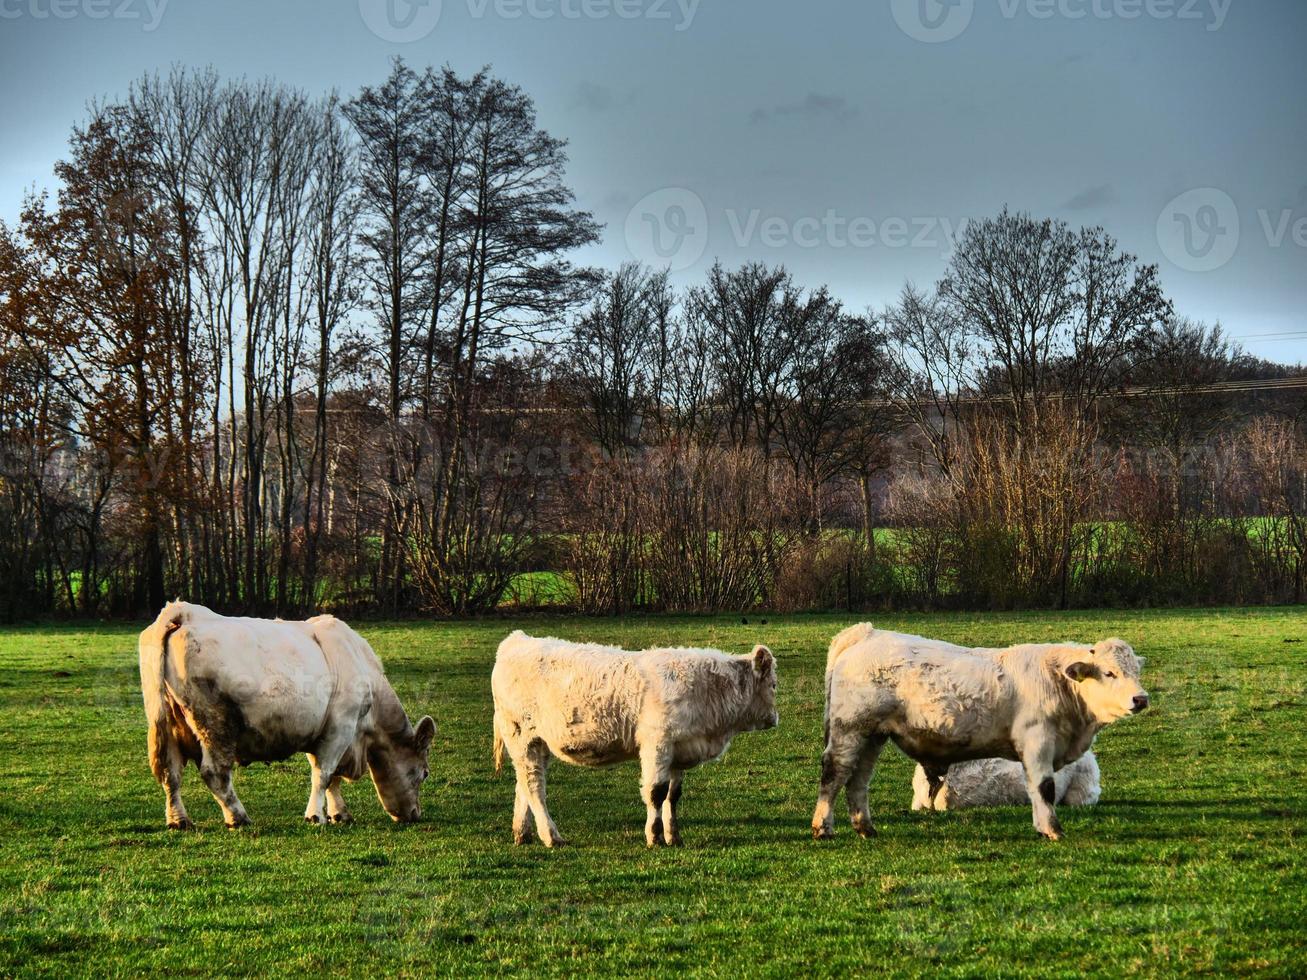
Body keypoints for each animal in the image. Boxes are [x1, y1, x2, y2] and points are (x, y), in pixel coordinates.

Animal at [137, 603, 436, 831]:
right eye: (424, 773)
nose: (414, 814)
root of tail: (185, 612)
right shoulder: (341, 727)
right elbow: (324, 774)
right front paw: (315, 816)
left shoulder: (323, 732)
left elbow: (332, 777)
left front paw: (338, 813)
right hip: (216, 724)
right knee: (215, 773)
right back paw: (238, 817)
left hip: (166, 724)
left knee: (170, 772)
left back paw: (179, 820)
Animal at [488, 632, 773, 846]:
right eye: (773, 685)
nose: (774, 718)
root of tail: (517, 639)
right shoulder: (656, 745)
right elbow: (656, 792)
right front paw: (655, 837)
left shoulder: (678, 749)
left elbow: (673, 795)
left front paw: (674, 836)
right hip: (522, 736)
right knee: (534, 785)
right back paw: (551, 836)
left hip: (537, 743)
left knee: (523, 784)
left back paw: (523, 833)